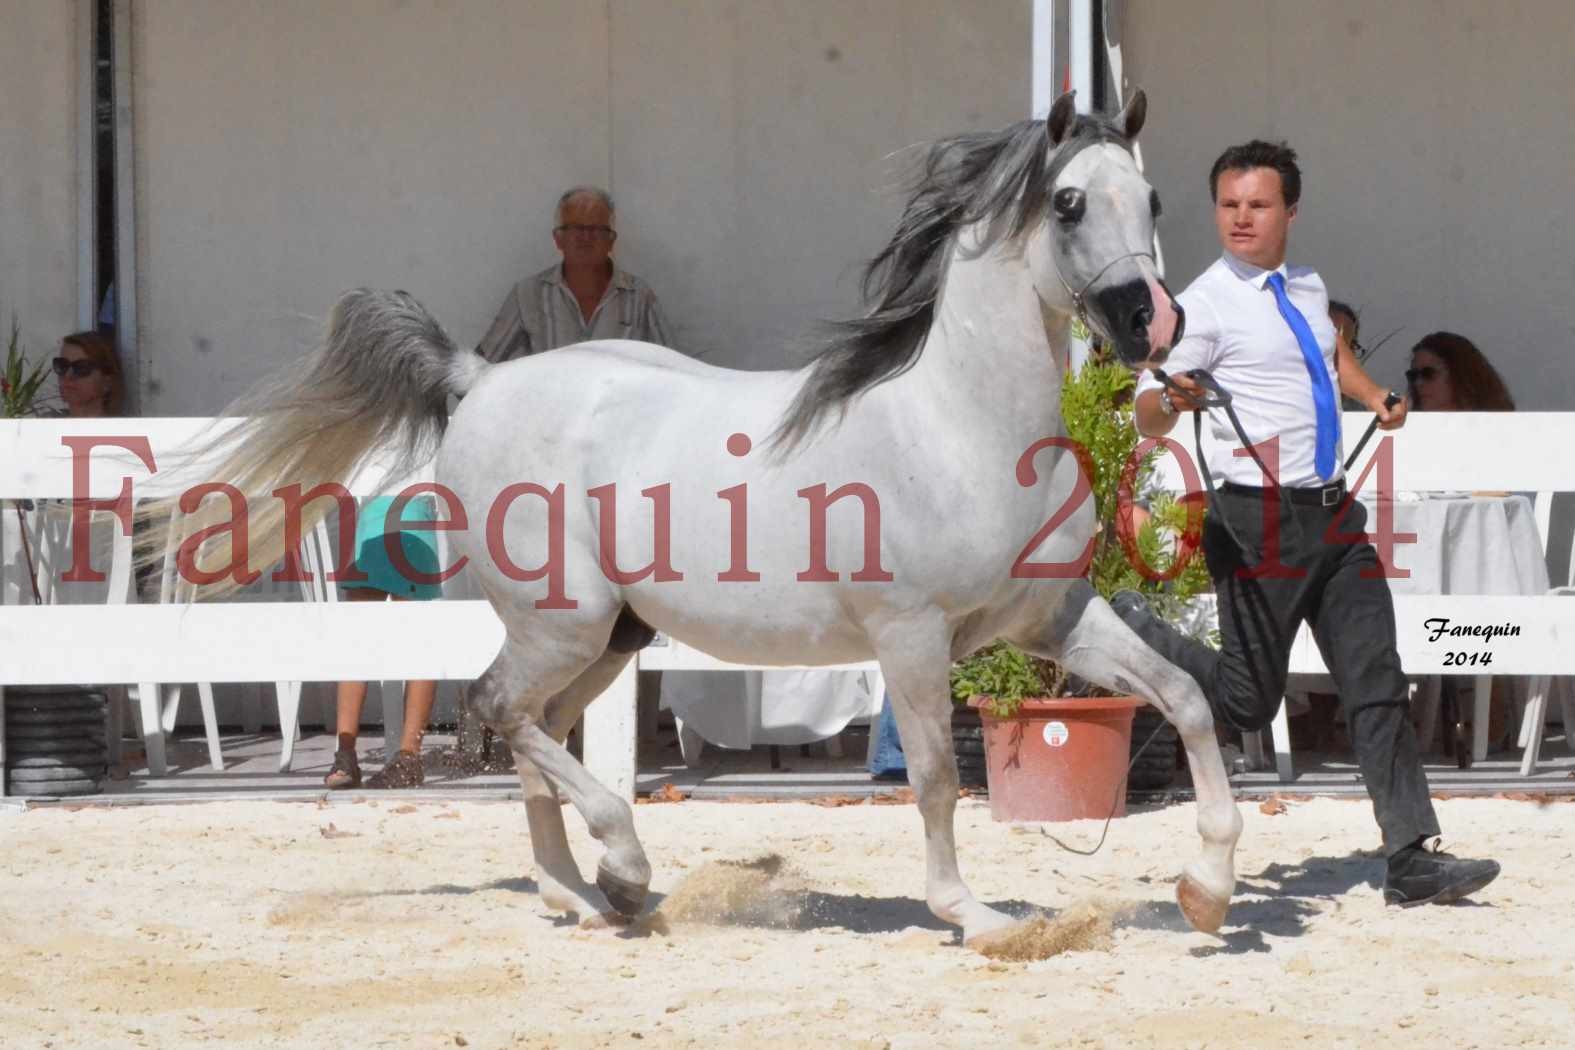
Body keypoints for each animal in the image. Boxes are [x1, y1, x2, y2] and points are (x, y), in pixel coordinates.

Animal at [153, 90, 1234, 944]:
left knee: (535, 728)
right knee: (499, 710)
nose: (1151, 323)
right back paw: (622, 867)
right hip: (565, 620)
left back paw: (583, 895)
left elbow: (1184, 697)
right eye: (1068, 201)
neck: (958, 425)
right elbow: (932, 777)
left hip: (612, 636)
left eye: (1151, 199)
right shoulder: (913, 638)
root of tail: (479, 377)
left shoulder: (1049, 619)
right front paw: (973, 915)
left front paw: (1206, 890)